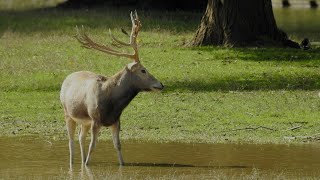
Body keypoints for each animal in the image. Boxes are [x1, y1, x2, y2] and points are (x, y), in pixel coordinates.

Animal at [59, 11, 164, 167]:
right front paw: (87, 165)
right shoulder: (95, 119)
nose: (161, 84)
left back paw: (81, 160)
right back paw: (74, 163)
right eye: (143, 70)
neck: (112, 104)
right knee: (71, 141)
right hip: (67, 113)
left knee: (80, 137)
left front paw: (122, 165)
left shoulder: (116, 120)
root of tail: (66, 78)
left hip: (84, 121)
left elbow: (118, 145)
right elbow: (93, 145)